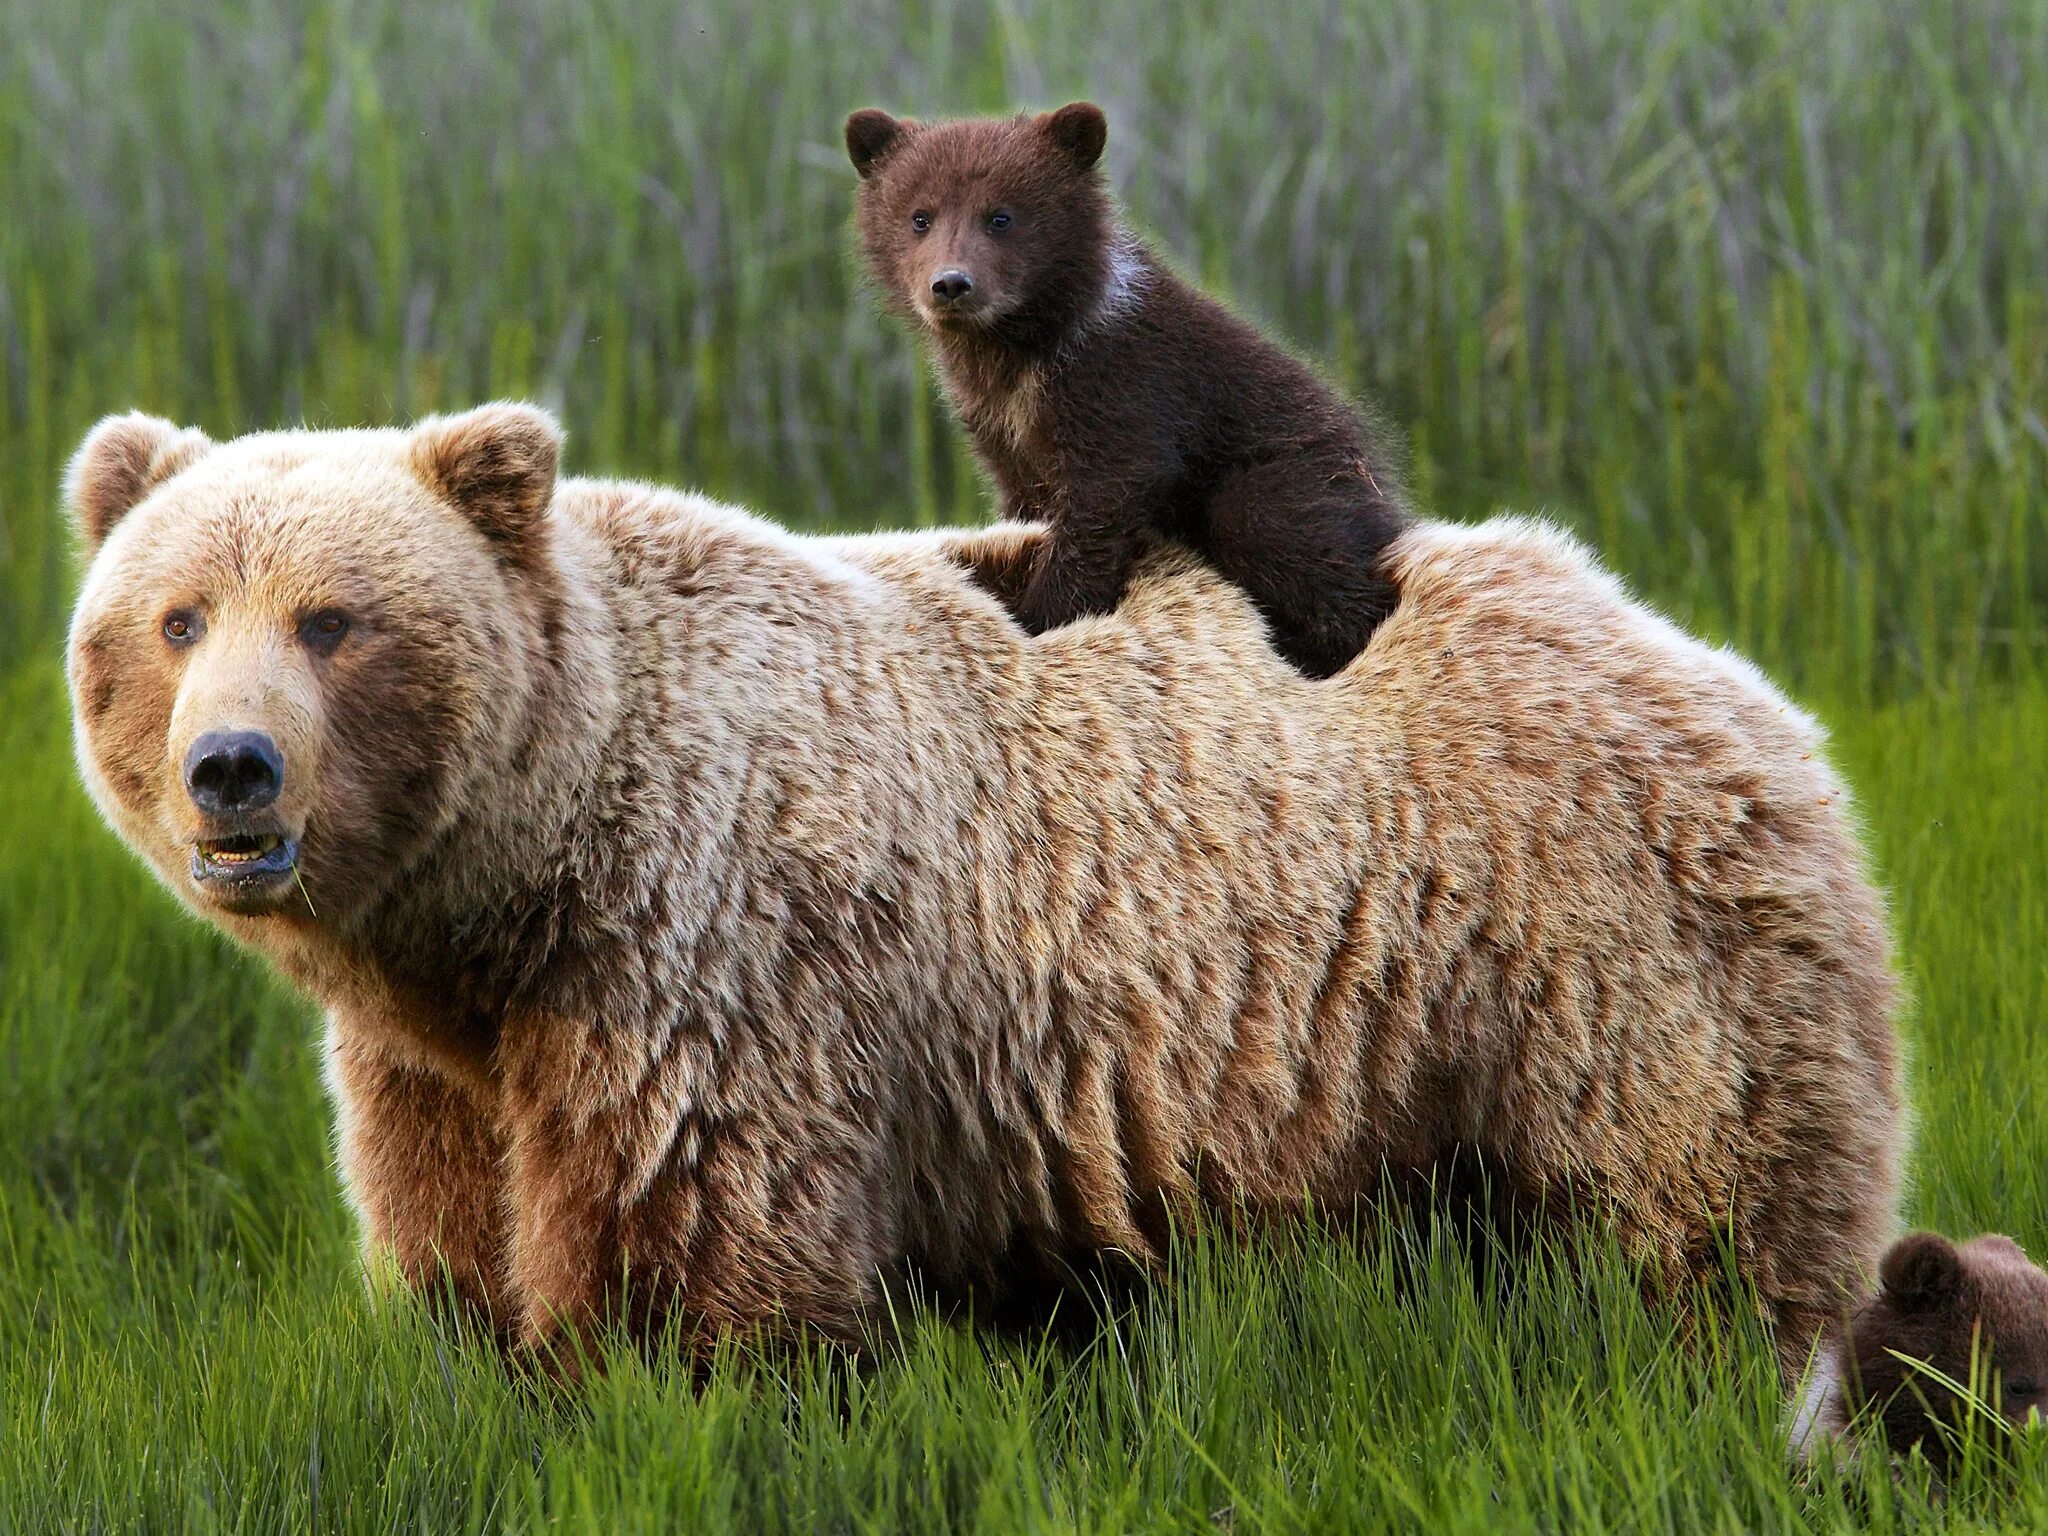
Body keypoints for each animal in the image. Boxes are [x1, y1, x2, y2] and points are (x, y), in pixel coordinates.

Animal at [64, 399, 1900, 1384]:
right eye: (174, 616)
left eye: (333, 620)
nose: (236, 769)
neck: (525, 881)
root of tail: (1721, 671)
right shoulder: (447, 1056)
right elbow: (458, 1252)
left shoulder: (709, 964)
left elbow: (698, 1266)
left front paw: (660, 1391)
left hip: (1594, 965)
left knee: (1688, 1236)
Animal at [843, 103, 1409, 679]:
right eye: (920, 216)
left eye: (1000, 216)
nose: (952, 284)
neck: (1018, 349)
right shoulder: (997, 420)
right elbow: (1025, 498)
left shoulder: (1121, 384)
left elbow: (1105, 497)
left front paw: (1041, 615)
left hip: (1292, 469)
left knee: (1282, 531)